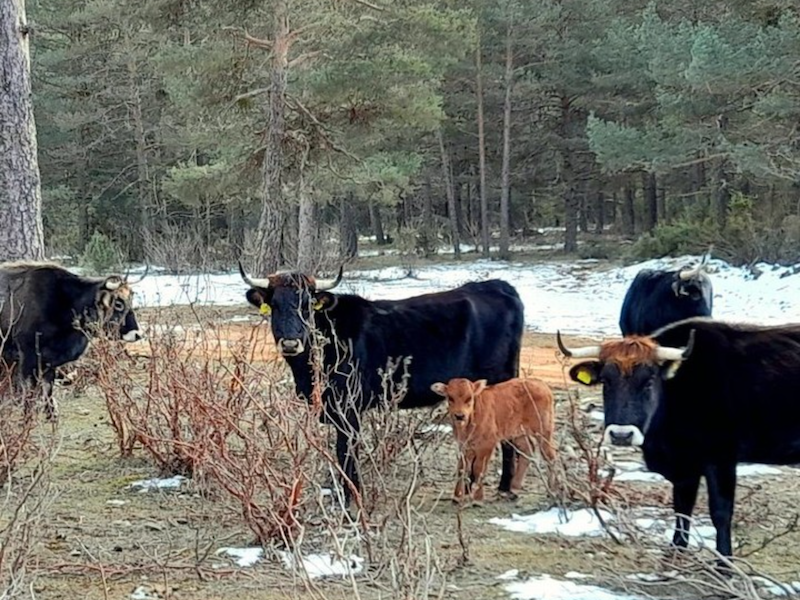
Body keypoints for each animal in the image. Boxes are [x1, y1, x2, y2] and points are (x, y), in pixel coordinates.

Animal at [0, 262, 144, 418]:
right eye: (118, 303)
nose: (137, 334)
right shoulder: (28, 355)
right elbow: (30, 391)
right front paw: (28, 416)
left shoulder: (49, 361)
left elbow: (48, 388)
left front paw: (51, 414)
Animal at [238, 264, 524, 504]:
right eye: (274, 304)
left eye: (307, 305)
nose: (289, 343)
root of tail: (497, 286)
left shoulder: (349, 408)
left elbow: (345, 452)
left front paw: (351, 497)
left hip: (500, 380)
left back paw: (503, 487)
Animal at [560, 322, 800, 560]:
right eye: (605, 381)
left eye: (649, 381)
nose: (621, 434)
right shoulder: (685, 466)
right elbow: (682, 507)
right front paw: (676, 551)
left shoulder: (721, 459)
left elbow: (721, 512)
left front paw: (724, 563)